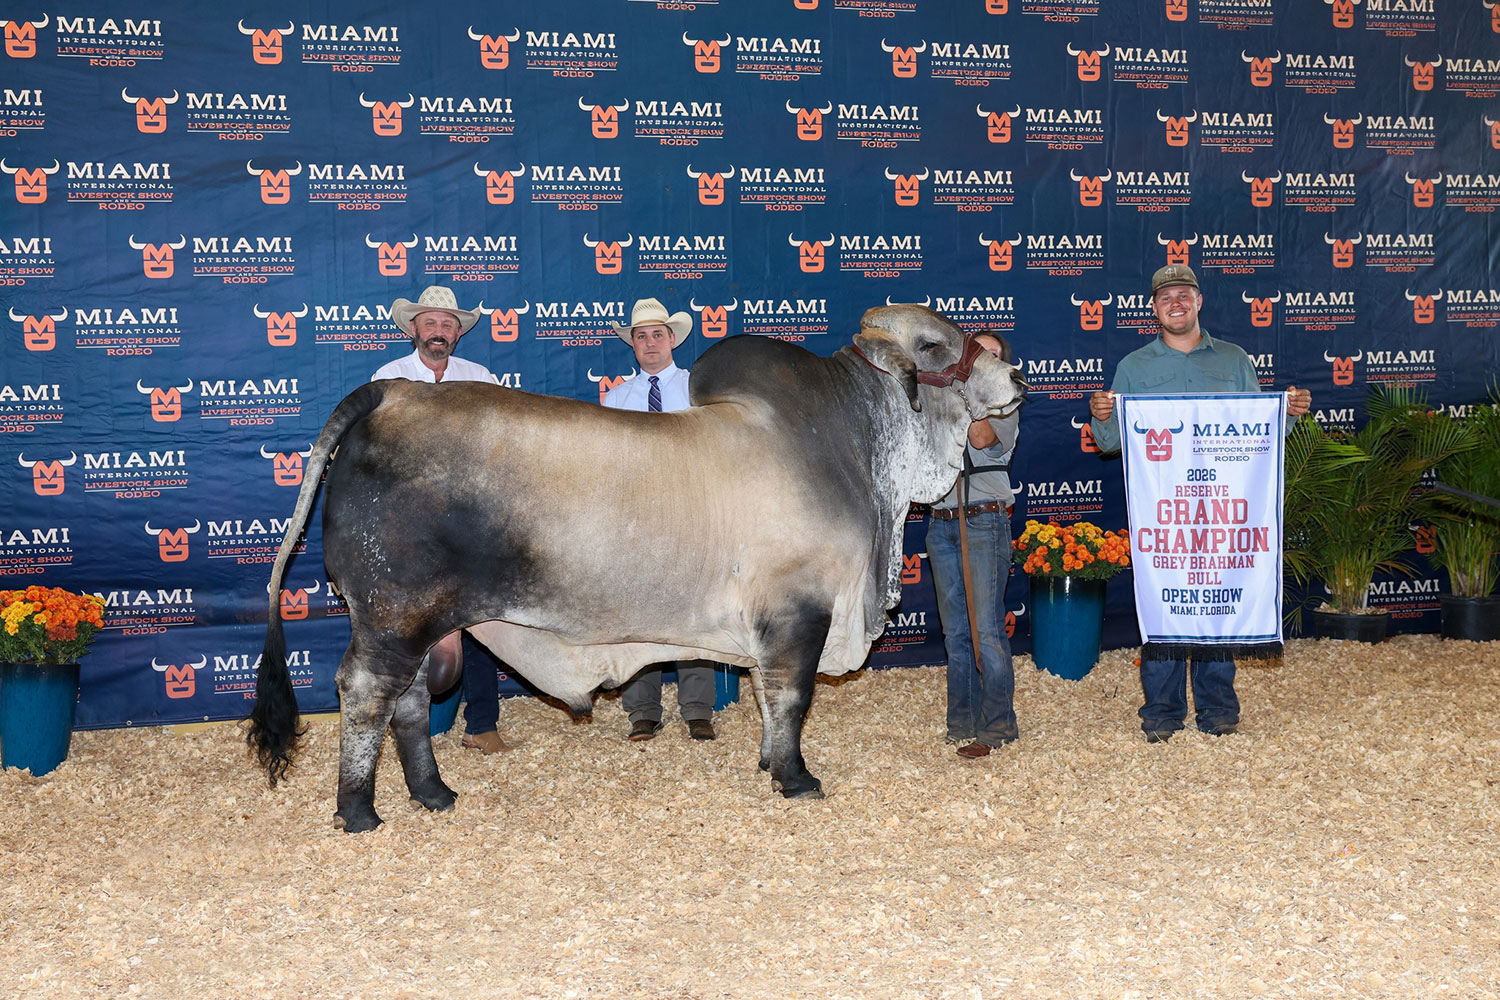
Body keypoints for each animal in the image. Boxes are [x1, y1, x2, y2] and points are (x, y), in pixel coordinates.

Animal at [248, 304, 1027, 832]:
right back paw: (358, 810)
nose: (1017, 373)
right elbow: (792, 697)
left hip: (416, 623)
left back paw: (433, 793)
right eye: (934, 344)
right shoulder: (798, 612)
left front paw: (766, 762)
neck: (858, 448)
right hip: (392, 614)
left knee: (407, 701)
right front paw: (795, 777)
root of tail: (393, 392)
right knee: (367, 694)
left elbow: (762, 697)